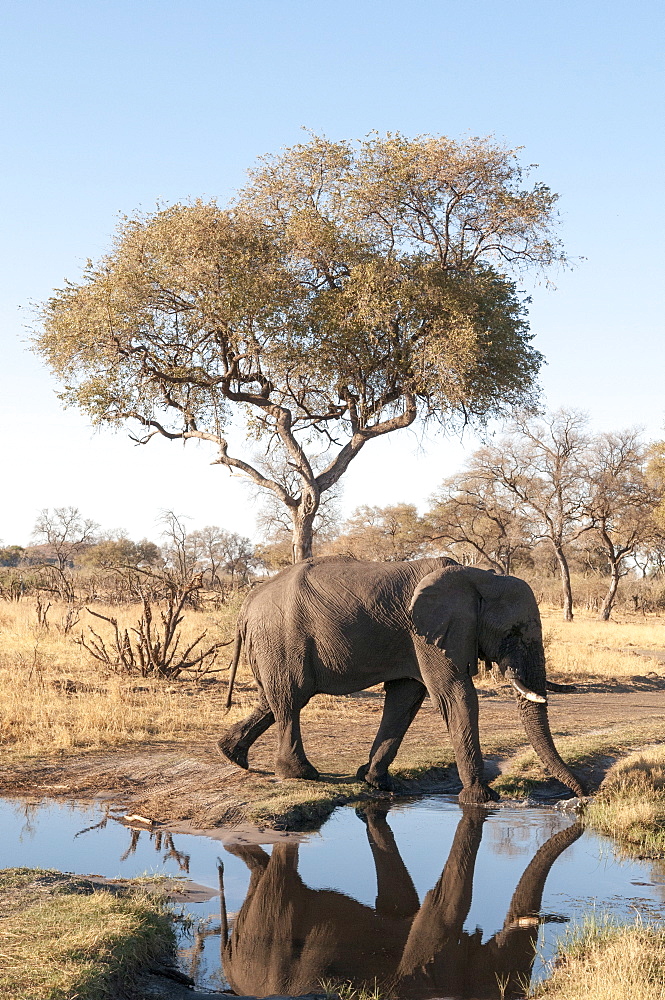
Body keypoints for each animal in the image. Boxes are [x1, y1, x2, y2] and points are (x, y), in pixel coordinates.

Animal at [217, 556, 580, 804]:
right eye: (513, 633)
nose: (581, 796)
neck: (478, 576)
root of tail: (247, 603)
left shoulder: (421, 638)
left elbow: (405, 699)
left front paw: (375, 782)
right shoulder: (431, 633)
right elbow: (455, 696)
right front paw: (480, 798)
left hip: (270, 644)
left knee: (272, 699)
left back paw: (231, 755)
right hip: (279, 638)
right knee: (291, 699)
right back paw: (301, 775)